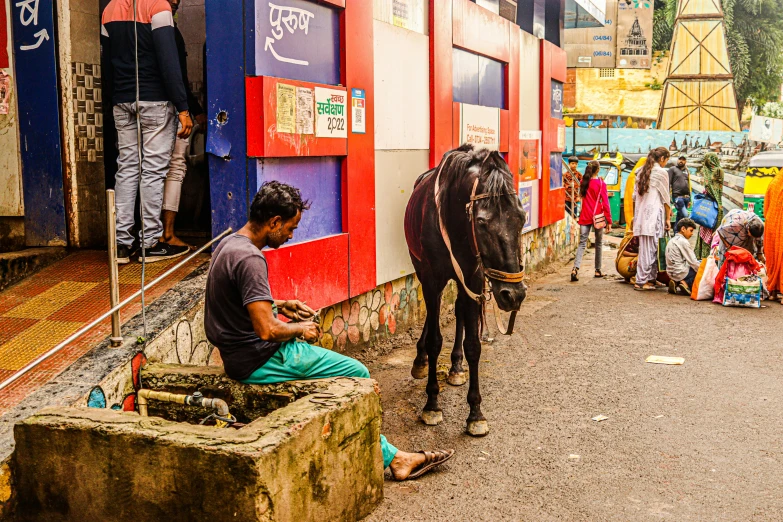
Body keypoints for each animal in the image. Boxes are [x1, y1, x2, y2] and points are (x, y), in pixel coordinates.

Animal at [404, 143, 528, 434]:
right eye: (482, 222)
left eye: (522, 217)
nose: (514, 295)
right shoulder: (431, 279)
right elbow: (435, 340)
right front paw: (431, 405)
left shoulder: (472, 278)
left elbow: (473, 344)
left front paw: (475, 413)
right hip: (422, 271)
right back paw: (421, 360)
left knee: (460, 310)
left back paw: (456, 367)